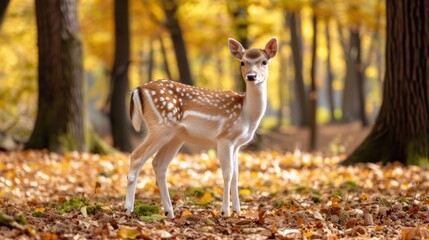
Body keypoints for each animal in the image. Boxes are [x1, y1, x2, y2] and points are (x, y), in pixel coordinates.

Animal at [123, 37, 278, 218]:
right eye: (242, 62)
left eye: (264, 61)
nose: (251, 76)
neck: (246, 113)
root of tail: (137, 89)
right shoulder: (224, 137)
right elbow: (227, 173)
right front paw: (225, 212)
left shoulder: (237, 144)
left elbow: (236, 174)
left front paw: (238, 211)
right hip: (160, 126)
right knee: (136, 157)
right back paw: (128, 209)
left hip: (175, 136)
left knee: (159, 164)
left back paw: (170, 212)